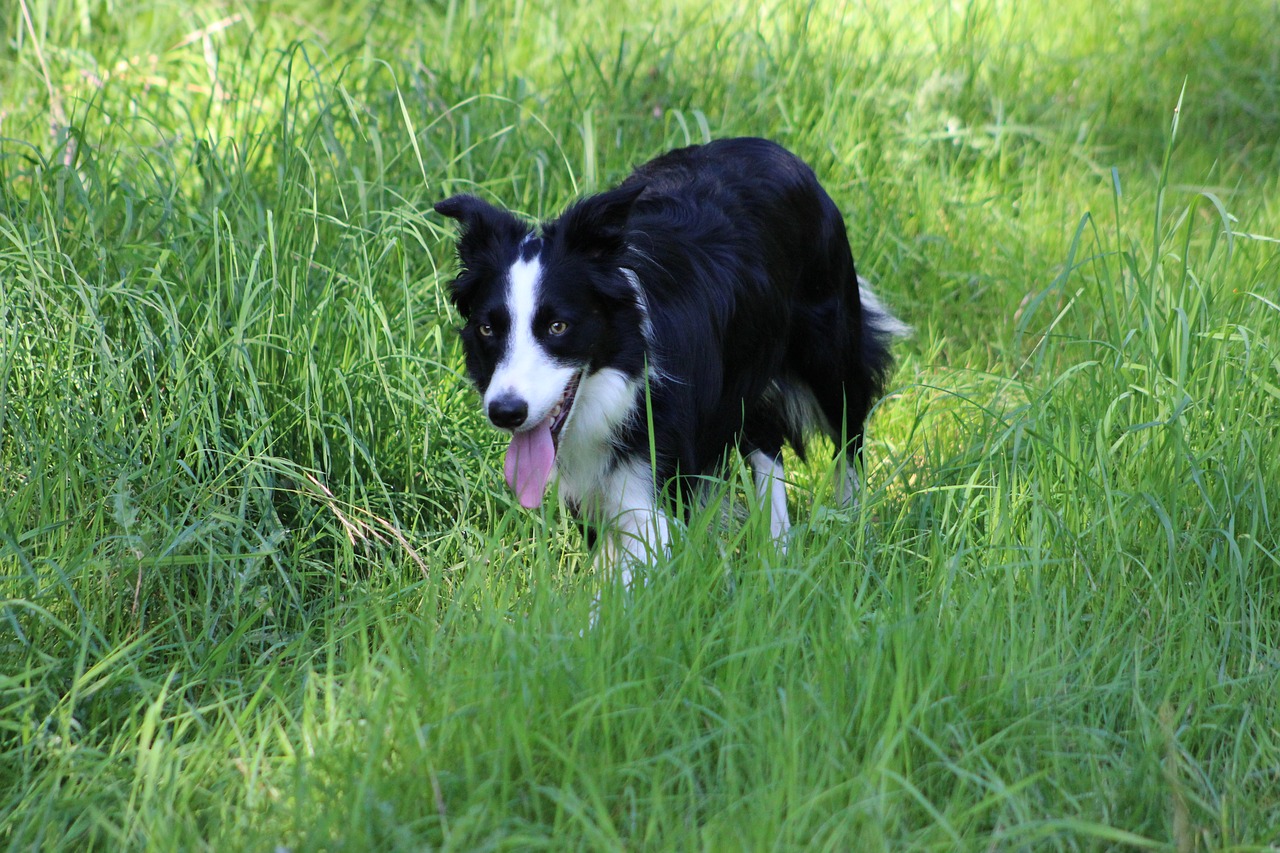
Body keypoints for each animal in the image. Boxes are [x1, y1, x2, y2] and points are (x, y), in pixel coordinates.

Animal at [435, 137, 906, 578]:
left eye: (557, 327)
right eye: (488, 329)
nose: (505, 412)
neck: (620, 385)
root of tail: (773, 148)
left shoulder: (656, 481)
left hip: (829, 350)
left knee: (849, 436)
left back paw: (853, 532)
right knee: (767, 441)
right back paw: (778, 553)